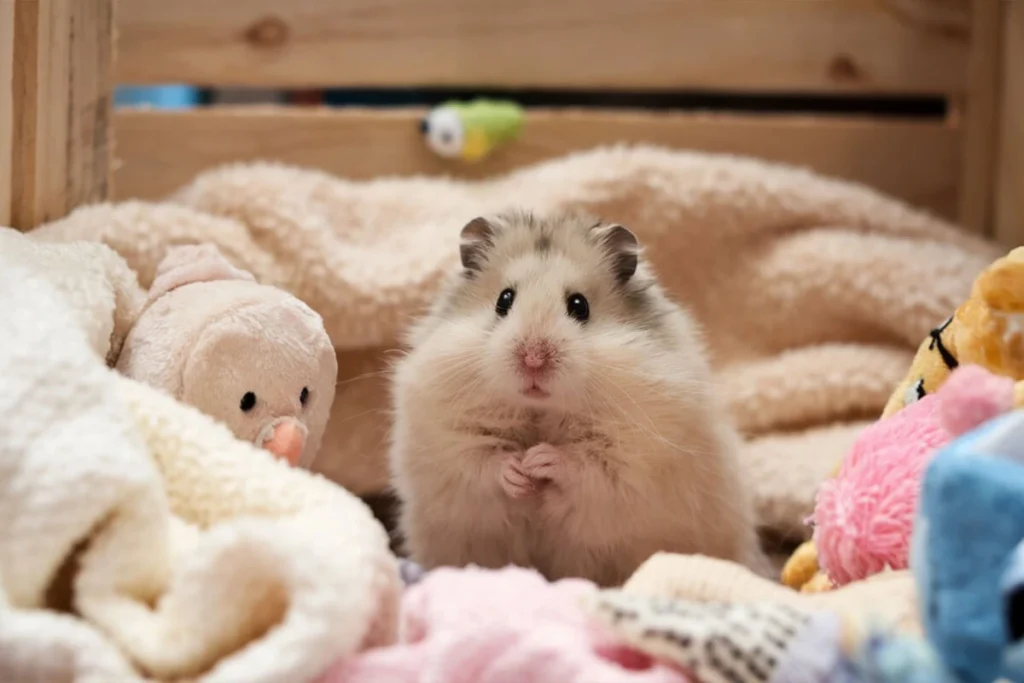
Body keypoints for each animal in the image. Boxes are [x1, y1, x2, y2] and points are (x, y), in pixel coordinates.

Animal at [387, 210, 765, 585]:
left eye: (579, 306)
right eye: (503, 300)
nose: (533, 360)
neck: (539, 411)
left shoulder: (634, 450)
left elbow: (584, 464)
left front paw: (539, 461)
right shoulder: (449, 434)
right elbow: (484, 460)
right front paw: (520, 472)